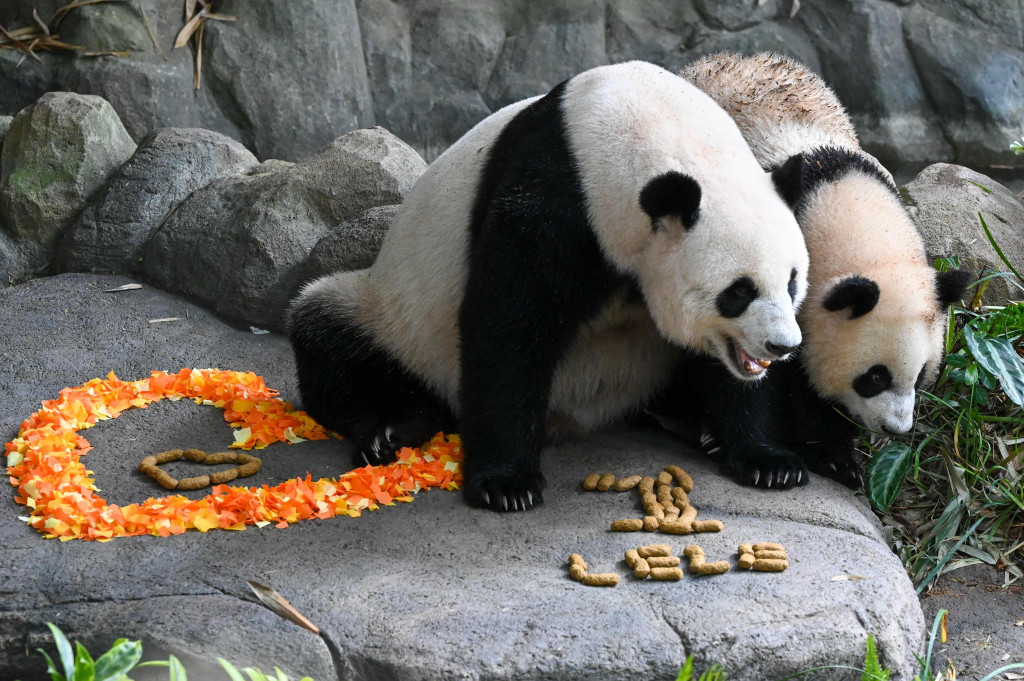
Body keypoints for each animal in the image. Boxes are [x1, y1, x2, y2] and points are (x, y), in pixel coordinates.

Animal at [288, 61, 810, 512]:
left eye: (792, 282)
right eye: (738, 292)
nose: (782, 346)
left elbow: (727, 373)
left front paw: (768, 462)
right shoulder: (557, 197)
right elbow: (509, 327)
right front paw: (507, 485)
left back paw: (698, 427)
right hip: (396, 313)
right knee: (331, 333)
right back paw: (390, 428)